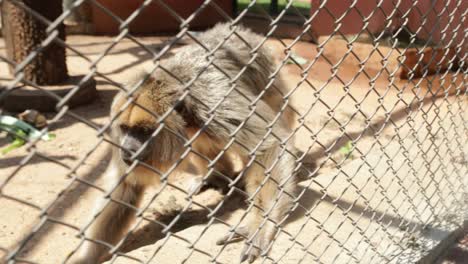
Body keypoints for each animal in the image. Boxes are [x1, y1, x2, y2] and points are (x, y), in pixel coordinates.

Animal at [67, 23, 306, 264]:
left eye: (144, 132)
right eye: (125, 129)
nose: (127, 148)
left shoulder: (214, 102)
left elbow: (268, 144)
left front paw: (259, 226)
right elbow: (125, 185)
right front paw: (84, 257)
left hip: (269, 76)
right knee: (200, 140)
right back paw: (215, 177)